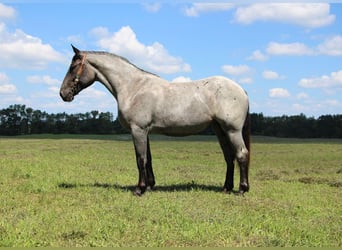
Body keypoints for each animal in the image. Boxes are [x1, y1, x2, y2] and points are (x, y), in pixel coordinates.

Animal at [60, 46, 250, 196]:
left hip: (232, 130)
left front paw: (140, 189)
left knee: (241, 154)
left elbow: (140, 159)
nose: (63, 94)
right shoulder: (145, 131)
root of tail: (241, 89)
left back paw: (242, 189)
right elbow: (148, 159)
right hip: (220, 130)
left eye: (73, 67)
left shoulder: (138, 130)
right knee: (229, 157)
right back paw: (226, 188)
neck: (133, 87)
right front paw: (150, 186)